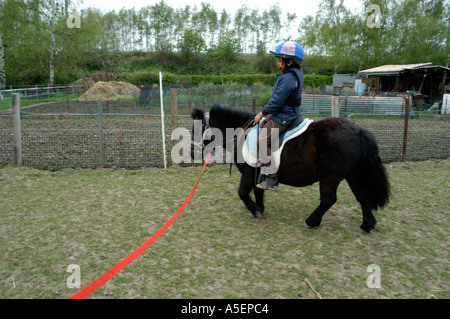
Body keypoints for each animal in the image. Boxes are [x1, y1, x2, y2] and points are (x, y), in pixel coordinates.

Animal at [191, 105, 390, 235]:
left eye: (198, 128)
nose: (192, 151)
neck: (241, 133)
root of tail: (358, 130)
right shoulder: (257, 174)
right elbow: (259, 191)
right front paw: (260, 208)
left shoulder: (248, 174)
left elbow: (242, 193)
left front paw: (255, 210)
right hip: (352, 175)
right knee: (362, 197)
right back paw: (367, 225)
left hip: (330, 177)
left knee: (328, 199)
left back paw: (312, 221)